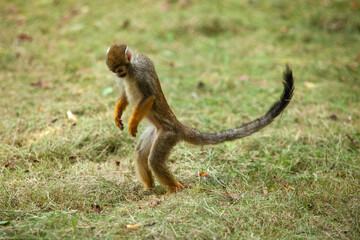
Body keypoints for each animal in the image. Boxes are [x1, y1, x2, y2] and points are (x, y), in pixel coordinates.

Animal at [105, 42, 294, 193]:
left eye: (121, 70)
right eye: (115, 72)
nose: (120, 75)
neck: (131, 67)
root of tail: (177, 125)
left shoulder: (141, 71)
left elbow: (149, 96)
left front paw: (132, 122)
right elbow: (124, 94)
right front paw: (118, 115)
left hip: (168, 134)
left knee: (155, 160)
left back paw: (174, 190)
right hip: (156, 132)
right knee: (140, 153)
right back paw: (150, 188)